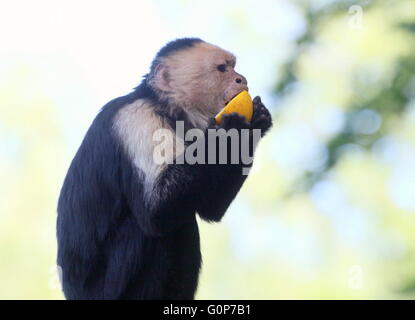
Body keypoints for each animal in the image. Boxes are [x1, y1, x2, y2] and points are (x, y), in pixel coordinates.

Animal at [57, 38, 272, 300]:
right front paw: (232, 130)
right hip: (105, 289)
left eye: (234, 67)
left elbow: (210, 210)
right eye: (223, 69)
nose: (242, 79)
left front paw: (257, 120)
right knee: (160, 227)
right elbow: (156, 209)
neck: (163, 105)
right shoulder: (137, 119)